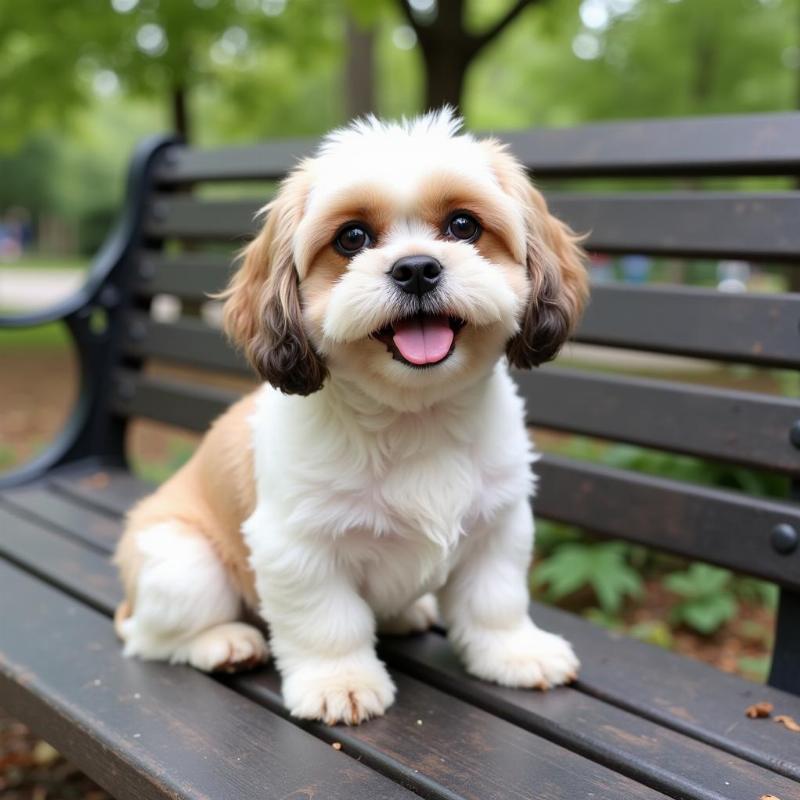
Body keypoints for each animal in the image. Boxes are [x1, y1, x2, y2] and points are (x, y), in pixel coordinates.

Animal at [112, 109, 588, 728]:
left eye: (463, 225)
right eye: (353, 238)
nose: (416, 268)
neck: (416, 418)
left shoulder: (498, 525)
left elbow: (496, 602)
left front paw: (515, 652)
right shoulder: (298, 547)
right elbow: (328, 623)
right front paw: (340, 683)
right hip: (183, 565)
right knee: (149, 637)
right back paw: (223, 643)